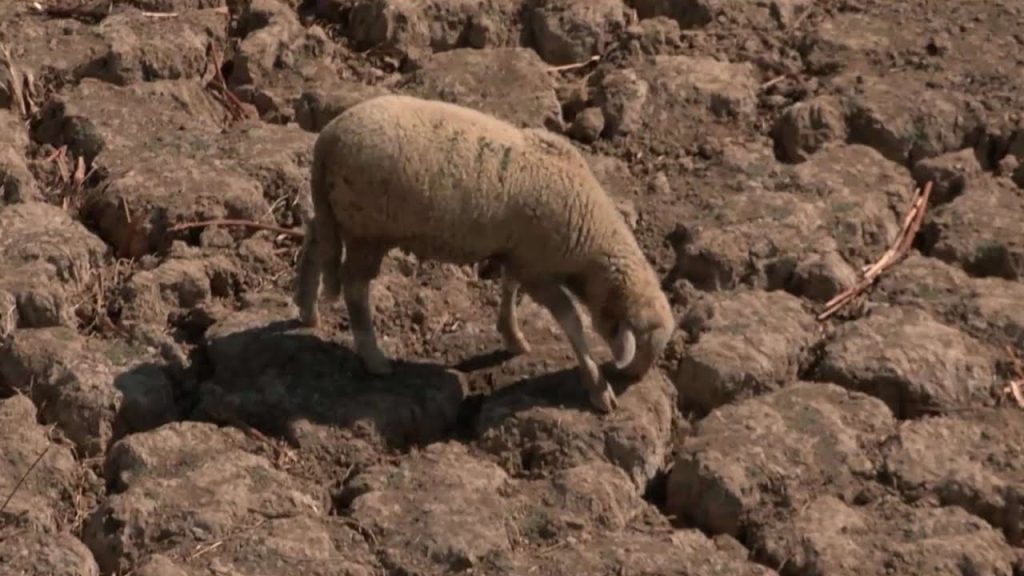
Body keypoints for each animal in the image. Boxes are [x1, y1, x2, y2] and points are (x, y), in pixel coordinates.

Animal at [294, 94, 679, 409]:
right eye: (645, 345)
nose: (634, 379)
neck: (590, 237)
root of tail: (327, 138)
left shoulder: (519, 254)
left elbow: (509, 287)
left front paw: (512, 336)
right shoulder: (538, 268)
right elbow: (571, 321)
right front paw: (598, 387)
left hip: (335, 212)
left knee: (314, 239)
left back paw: (307, 310)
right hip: (368, 229)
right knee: (355, 288)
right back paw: (374, 359)